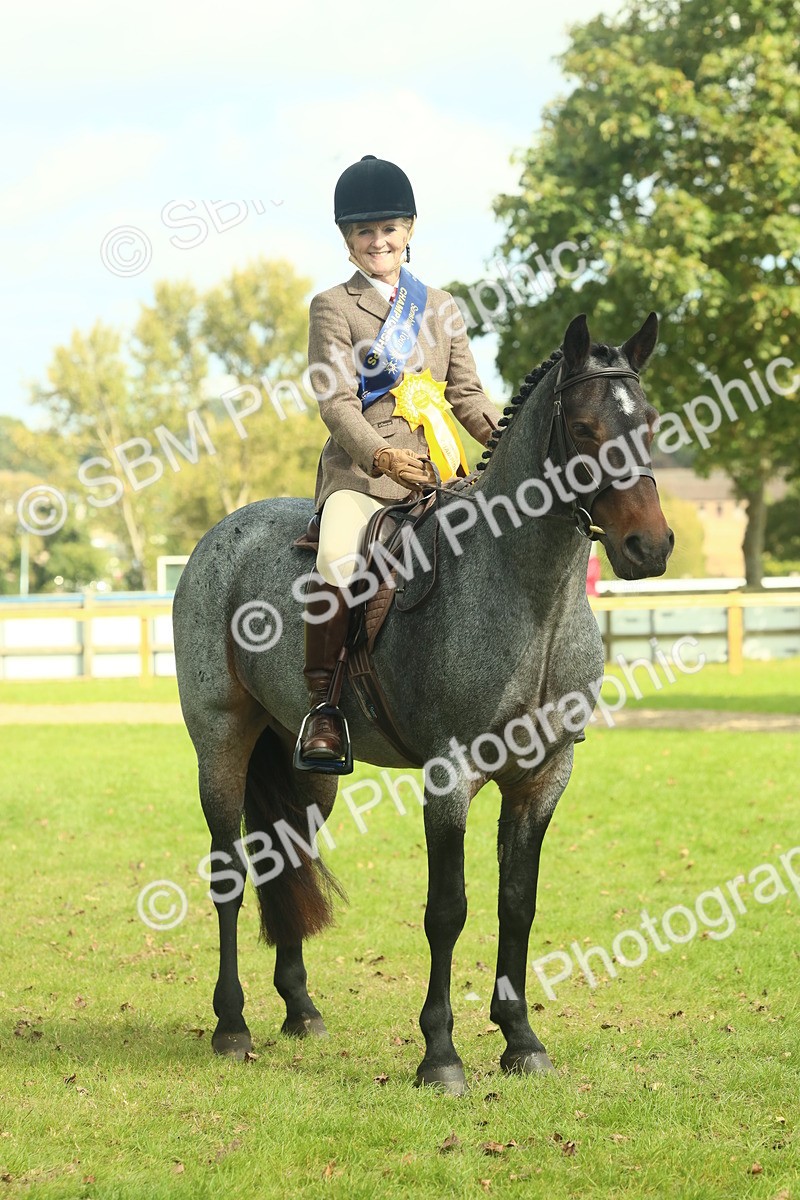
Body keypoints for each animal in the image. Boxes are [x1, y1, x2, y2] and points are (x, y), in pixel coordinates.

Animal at [172, 311, 673, 1095]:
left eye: (648, 421)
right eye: (584, 427)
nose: (649, 546)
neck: (529, 596)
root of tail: (222, 534)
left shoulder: (544, 778)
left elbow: (517, 903)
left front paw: (520, 1039)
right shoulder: (450, 776)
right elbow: (448, 910)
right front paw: (440, 1054)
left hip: (310, 769)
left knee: (284, 856)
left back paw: (300, 1009)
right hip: (220, 742)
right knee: (229, 872)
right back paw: (232, 1025)